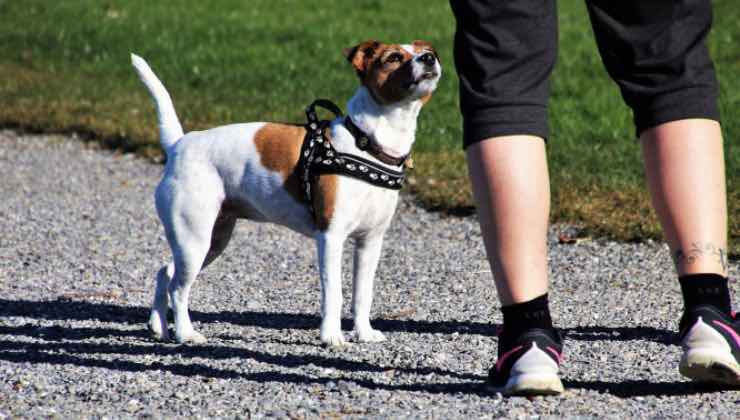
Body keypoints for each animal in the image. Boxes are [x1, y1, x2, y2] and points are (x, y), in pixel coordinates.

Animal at [131, 40, 440, 348]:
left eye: (427, 51)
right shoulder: (331, 237)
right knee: (178, 288)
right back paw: (185, 333)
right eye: (394, 57)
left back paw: (158, 326)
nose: (429, 58)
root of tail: (178, 144)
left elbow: (363, 294)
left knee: (165, 273)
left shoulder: (370, 242)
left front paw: (364, 333)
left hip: (210, 241)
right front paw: (331, 336)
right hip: (194, 240)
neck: (365, 144)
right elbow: (334, 294)